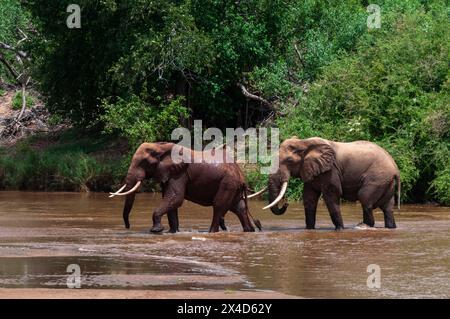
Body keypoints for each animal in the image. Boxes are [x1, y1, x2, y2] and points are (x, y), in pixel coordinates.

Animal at [108, 142, 256, 232]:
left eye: (144, 163)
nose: (128, 227)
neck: (160, 146)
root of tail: (242, 175)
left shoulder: (179, 174)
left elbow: (175, 198)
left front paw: (156, 230)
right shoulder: (168, 173)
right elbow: (171, 201)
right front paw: (172, 232)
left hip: (228, 183)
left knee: (219, 206)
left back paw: (211, 232)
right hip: (233, 186)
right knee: (239, 207)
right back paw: (249, 230)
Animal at [253, 138, 400, 230]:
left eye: (289, 161)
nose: (286, 203)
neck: (304, 142)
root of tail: (395, 168)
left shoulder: (331, 170)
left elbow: (331, 195)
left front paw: (340, 229)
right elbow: (309, 198)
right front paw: (309, 229)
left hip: (377, 178)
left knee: (365, 200)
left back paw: (363, 226)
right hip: (386, 182)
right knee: (387, 207)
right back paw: (390, 227)